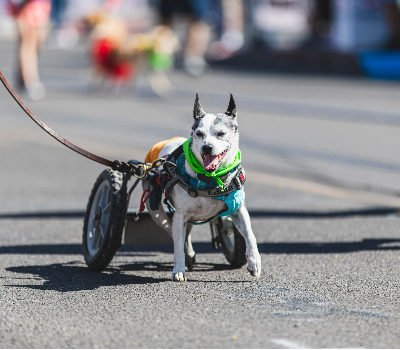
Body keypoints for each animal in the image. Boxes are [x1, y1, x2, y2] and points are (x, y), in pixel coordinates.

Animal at [144, 94, 262, 284]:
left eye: (221, 133)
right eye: (199, 133)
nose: (207, 146)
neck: (211, 179)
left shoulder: (238, 210)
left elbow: (250, 235)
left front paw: (254, 263)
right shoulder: (180, 216)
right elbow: (178, 243)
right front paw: (178, 270)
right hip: (157, 210)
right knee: (173, 231)